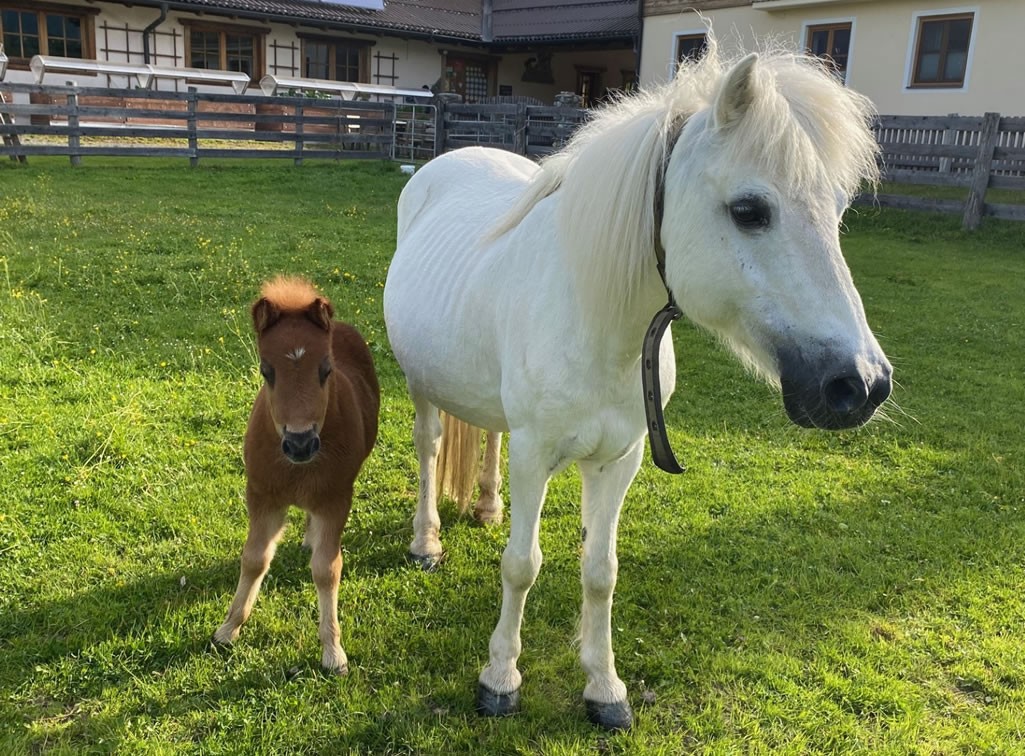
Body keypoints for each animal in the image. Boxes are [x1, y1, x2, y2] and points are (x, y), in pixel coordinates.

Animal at [214, 276, 379, 675]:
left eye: (326, 369)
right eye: (266, 371)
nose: (300, 443)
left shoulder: (335, 499)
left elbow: (326, 568)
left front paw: (333, 650)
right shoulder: (262, 495)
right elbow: (254, 559)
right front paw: (228, 629)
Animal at [383, 44, 892, 730]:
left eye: (837, 211)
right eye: (749, 211)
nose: (860, 384)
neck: (599, 321)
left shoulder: (618, 460)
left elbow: (601, 571)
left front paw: (605, 687)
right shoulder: (536, 455)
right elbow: (521, 566)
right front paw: (500, 678)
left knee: (487, 439)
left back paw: (487, 508)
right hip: (420, 386)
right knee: (430, 447)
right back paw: (426, 541)